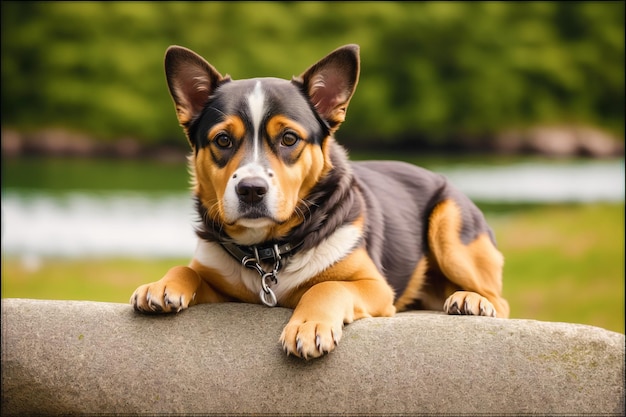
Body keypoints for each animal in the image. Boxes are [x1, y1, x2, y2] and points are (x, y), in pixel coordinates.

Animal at [132, 44, 508, 360]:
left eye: (288, 138)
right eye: (223, 140)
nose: (251, 190)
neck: (268, 252)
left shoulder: (375, 287)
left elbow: (327, 285)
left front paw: (308, 326)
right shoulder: (220, 284)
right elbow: (187, 269)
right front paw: (162, 286)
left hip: (449, 226)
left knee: (498, 300)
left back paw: (470, 300)